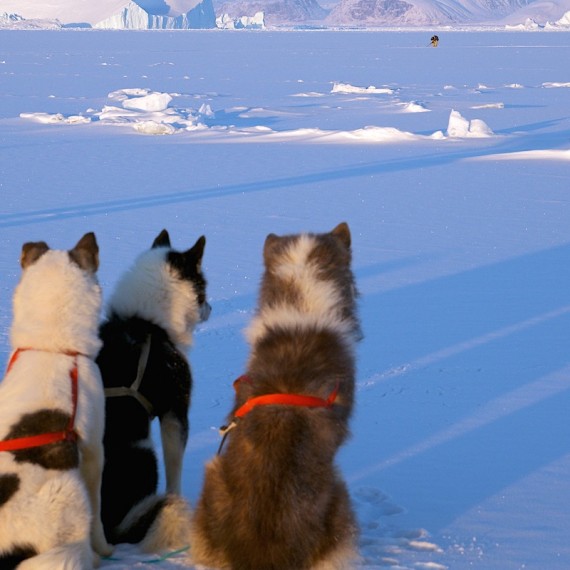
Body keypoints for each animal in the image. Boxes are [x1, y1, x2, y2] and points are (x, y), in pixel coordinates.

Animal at [96, 230, 210, 552]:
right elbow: (175, 472)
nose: (210, 309)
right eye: (204, 286)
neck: (145, 321)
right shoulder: (176, 413)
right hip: (144, 452)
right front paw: (177, 499)